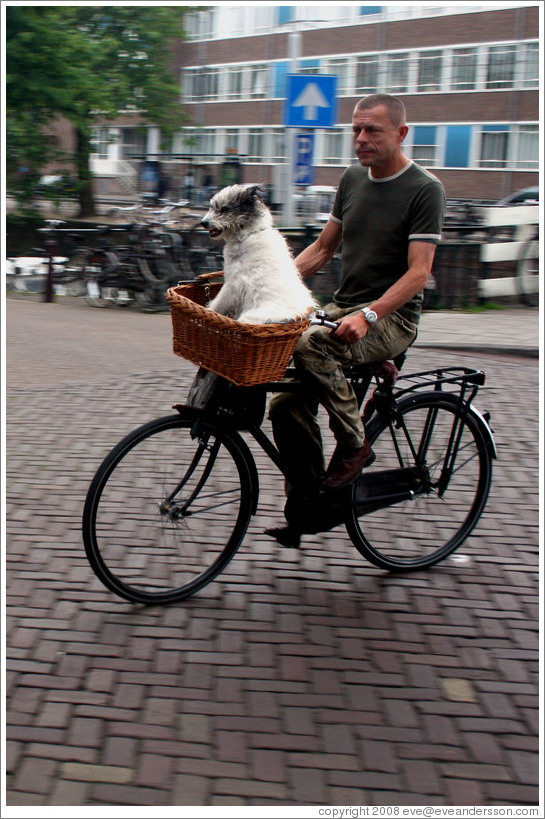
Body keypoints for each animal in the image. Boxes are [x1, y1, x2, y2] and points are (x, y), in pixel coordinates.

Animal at [201, 184, 316, 326]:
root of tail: (291, 316)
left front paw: (209, 312)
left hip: (248, 317)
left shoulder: (234, 283)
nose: (203, 222)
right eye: (212, 206)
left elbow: (218, 303)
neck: (247, 235)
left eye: (224, 209)